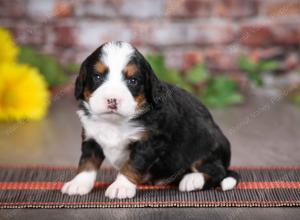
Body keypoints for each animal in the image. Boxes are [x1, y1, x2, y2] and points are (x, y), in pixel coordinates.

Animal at [61, 41, 239, 199]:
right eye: (97, 77)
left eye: (132, 81)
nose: (112, 100)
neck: (115, 122)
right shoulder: (91, 137)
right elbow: (87, 162)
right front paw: (78, 183)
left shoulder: (148, 142)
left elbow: (132, 165)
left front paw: (121, 186)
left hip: (206, 143)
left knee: (218, 171)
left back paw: (192, 180)